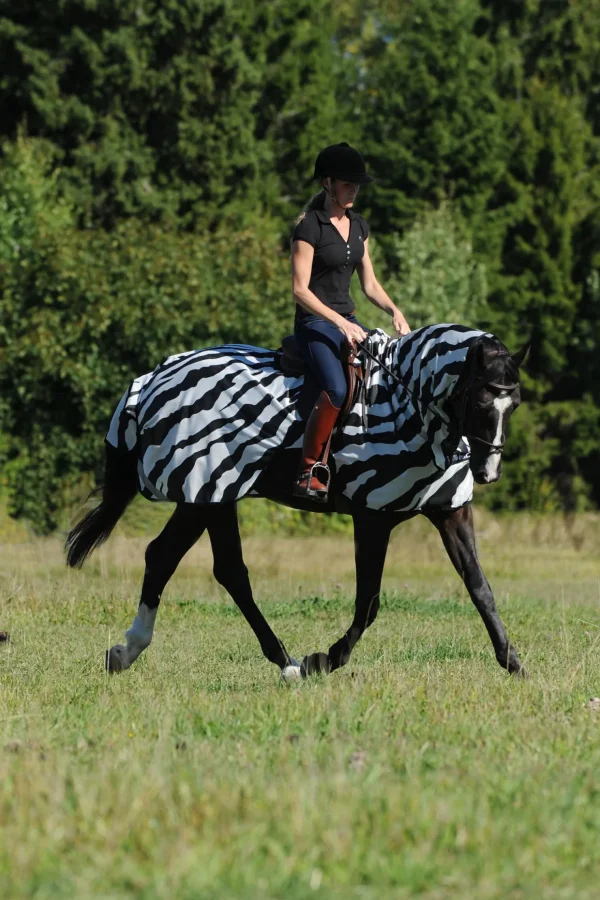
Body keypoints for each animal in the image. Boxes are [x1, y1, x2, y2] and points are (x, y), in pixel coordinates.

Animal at [63, 324, 528, 684]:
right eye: (481, 399)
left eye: (515, 403)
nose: (488, 472)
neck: (408, 407)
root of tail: (152, 380)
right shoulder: (372, 518)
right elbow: (369, 602)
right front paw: (324, 660)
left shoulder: (449, 510)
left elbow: (479, 587)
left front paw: (513, 663)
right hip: (209, 493)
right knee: (211, 567)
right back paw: (286, 664)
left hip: (208, 497)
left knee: (182, 561)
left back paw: (131, 651)